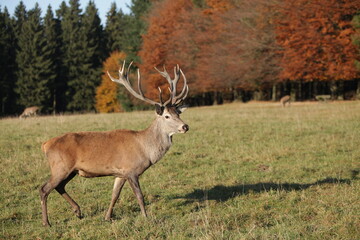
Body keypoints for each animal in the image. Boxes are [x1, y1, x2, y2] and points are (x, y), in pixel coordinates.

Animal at [39, 62, 190, 227]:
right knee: (44, 189)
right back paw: (46, 222)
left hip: (71, 170)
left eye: (178, 113)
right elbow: (139, 195)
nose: (185, 126)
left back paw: (77, 211)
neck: (146, 150)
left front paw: (108, 217)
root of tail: (45, 145)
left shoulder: (120, 173)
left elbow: (115, 194)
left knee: (59, 186)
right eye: (167, 116)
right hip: (60, 167)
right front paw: (146, 217)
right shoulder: (131, 170)